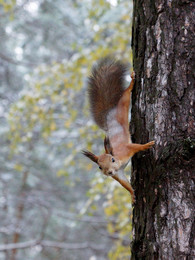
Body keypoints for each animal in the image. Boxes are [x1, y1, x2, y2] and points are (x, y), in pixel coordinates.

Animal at [82, 57, 154, 203]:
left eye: (113, 160)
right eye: (100, 167)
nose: (109, 172)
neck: (119, 161)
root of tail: (110, 115)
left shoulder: (126, 150)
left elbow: (136, 146)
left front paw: (146, 145)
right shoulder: (118, 174)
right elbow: (125, 183)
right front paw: (132, 194)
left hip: (122, 107)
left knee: (125, 96)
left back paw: (131, 84)